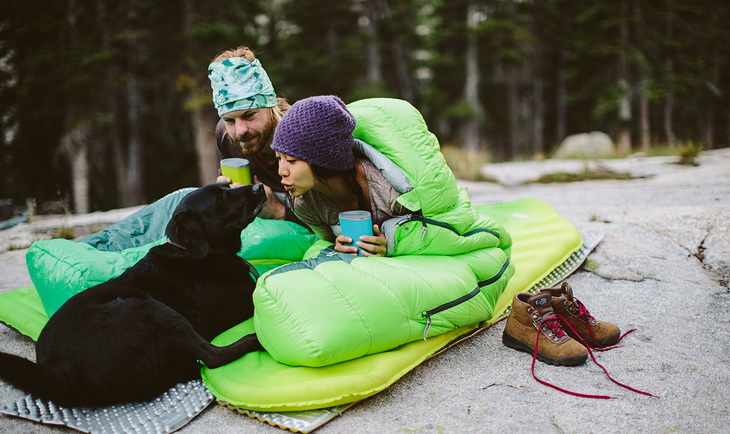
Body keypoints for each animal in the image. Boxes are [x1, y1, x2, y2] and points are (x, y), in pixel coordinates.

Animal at [0, 183, 264, 406]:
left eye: (227, 187)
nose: (259, 187)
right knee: (212, 357)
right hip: (150, 308)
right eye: (221, 198)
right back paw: (254, 340)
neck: (195, 252)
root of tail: (57, 370)